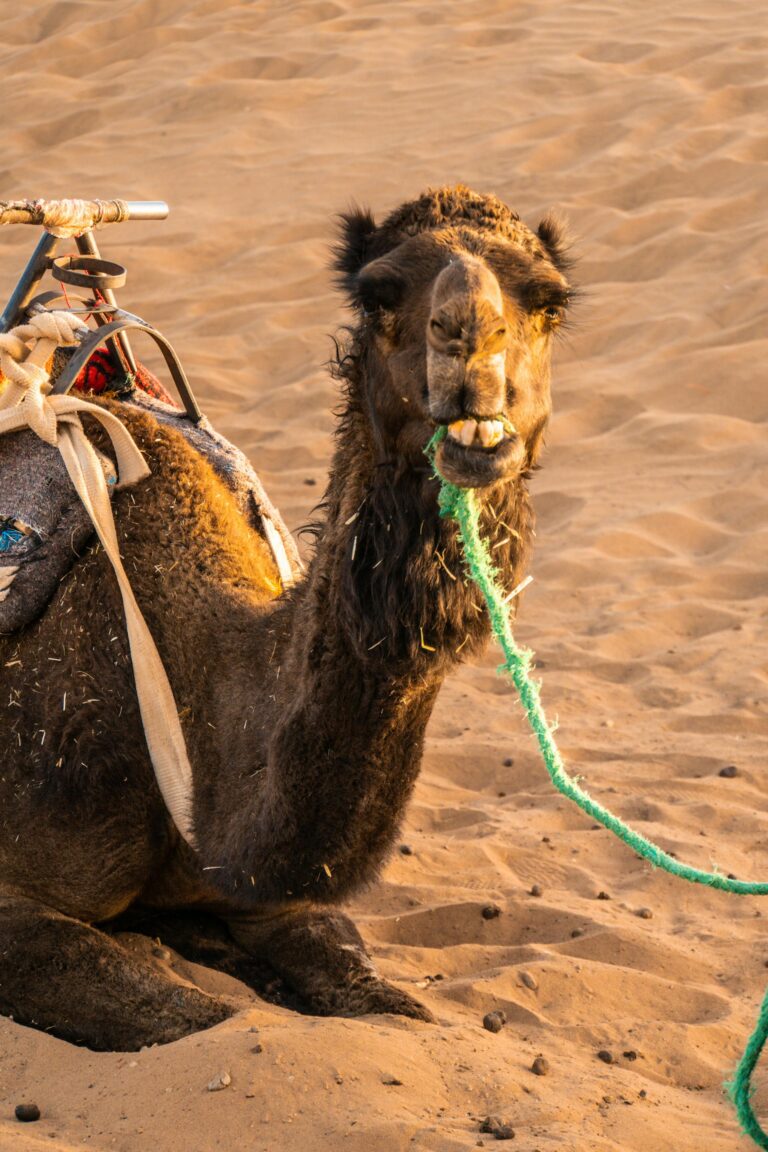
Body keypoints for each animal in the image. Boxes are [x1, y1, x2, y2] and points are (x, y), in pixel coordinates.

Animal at [0, 185, 571, 1050]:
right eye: (378, 295)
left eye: (548, 301)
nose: (470, 346)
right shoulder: (13, 901)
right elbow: (192, 1019)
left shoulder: (277, 901)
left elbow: (382, 999)